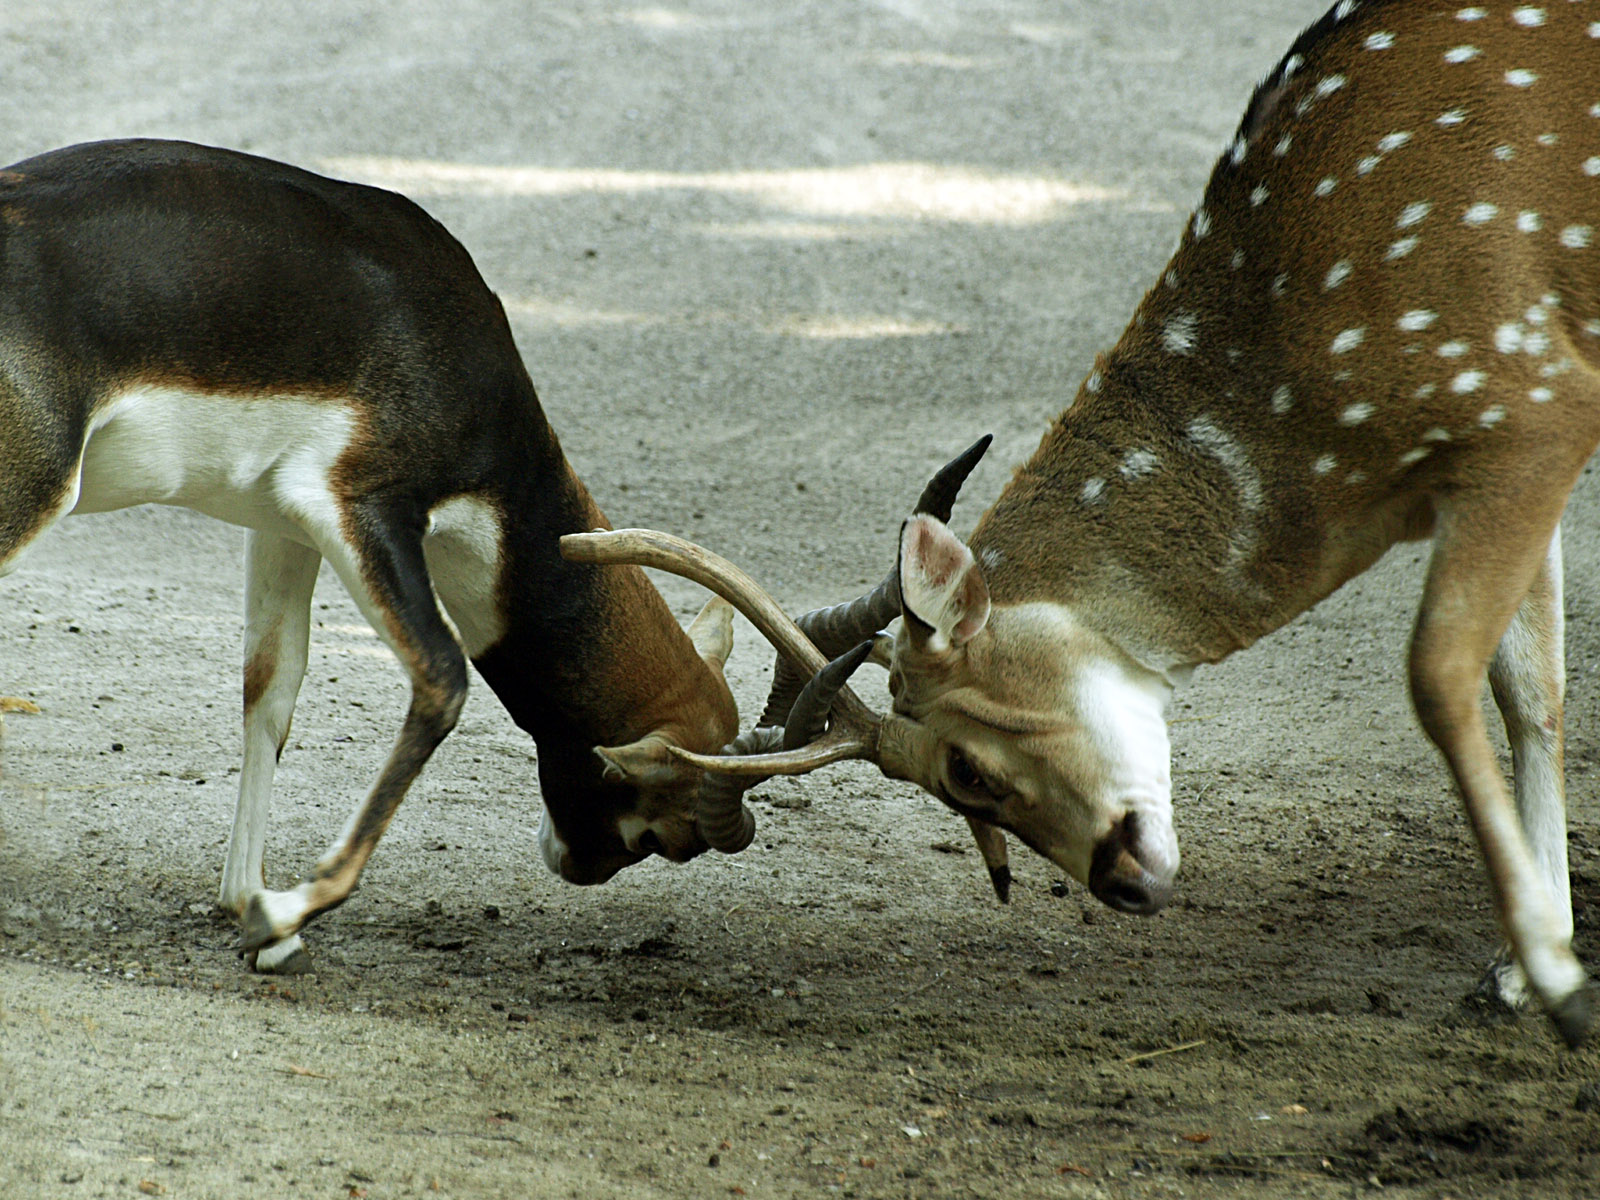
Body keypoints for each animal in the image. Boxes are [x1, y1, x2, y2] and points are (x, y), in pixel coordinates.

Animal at [0, 137, 769, 973]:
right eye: (656, 816)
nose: (581, 865)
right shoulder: (359, 505)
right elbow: (441, 677)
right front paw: (279, 913)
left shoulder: (282, 523)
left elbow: (272, 685)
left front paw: (251, 905)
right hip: (29, 497)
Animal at [568, 0, 1600, 1046]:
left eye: (967, 769)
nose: (1126, 883)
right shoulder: (1502, 453)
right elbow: (1531, 687)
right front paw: (1521, 970)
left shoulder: (1530, 397)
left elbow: (1440, 672)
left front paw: (1554, 979)